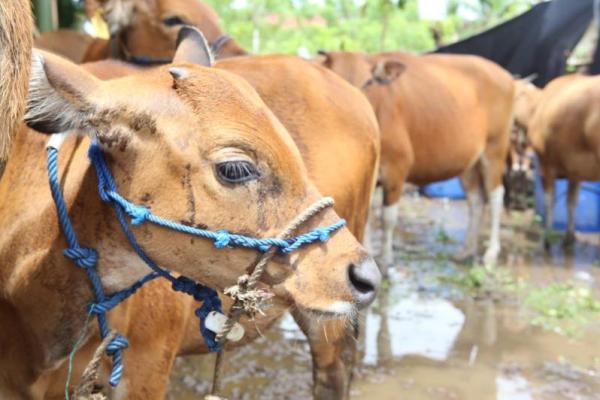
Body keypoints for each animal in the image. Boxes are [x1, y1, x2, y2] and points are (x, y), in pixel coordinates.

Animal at [318, 50, 516, 270]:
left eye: (369, 82)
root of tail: (507, 76)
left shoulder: (397, 166)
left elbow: (388, 218)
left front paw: (386, 259)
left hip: (495, 147)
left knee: (496, 197)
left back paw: (491, 253)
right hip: (470, 163)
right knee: (476, 200)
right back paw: (466, 250)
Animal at [512, 73, 596, 245]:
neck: (537, 106)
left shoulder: (546, 165)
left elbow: (549, 200)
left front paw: (547, 236)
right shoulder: (575, 172)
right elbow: (571, 202)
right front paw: (569, 236)